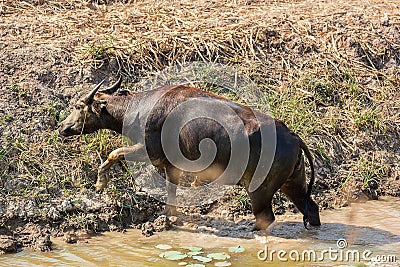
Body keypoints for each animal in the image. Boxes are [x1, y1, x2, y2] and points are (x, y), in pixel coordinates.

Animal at [57, 78, 322, 231]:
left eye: (78, 106)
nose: (62, 128)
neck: (139, 108)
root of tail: (294, 137)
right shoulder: (171, 165)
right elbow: (171, 191)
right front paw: (169, 219)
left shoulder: (146, 151)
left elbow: (114, 153)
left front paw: (100, 182)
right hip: (292, 183)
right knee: (311, 208)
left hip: (260, 190)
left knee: (266, 218)